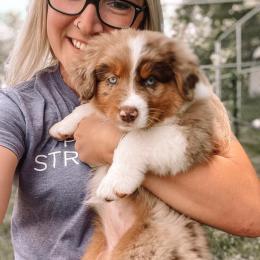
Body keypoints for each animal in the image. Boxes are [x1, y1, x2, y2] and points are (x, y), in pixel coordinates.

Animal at [49, 29, 231, 260]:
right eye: (112, 79)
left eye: (150, 81)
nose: (128, 114)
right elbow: (91, 107)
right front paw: (62, 125)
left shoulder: (193, 134)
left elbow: (135, 140)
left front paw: (115, 181)